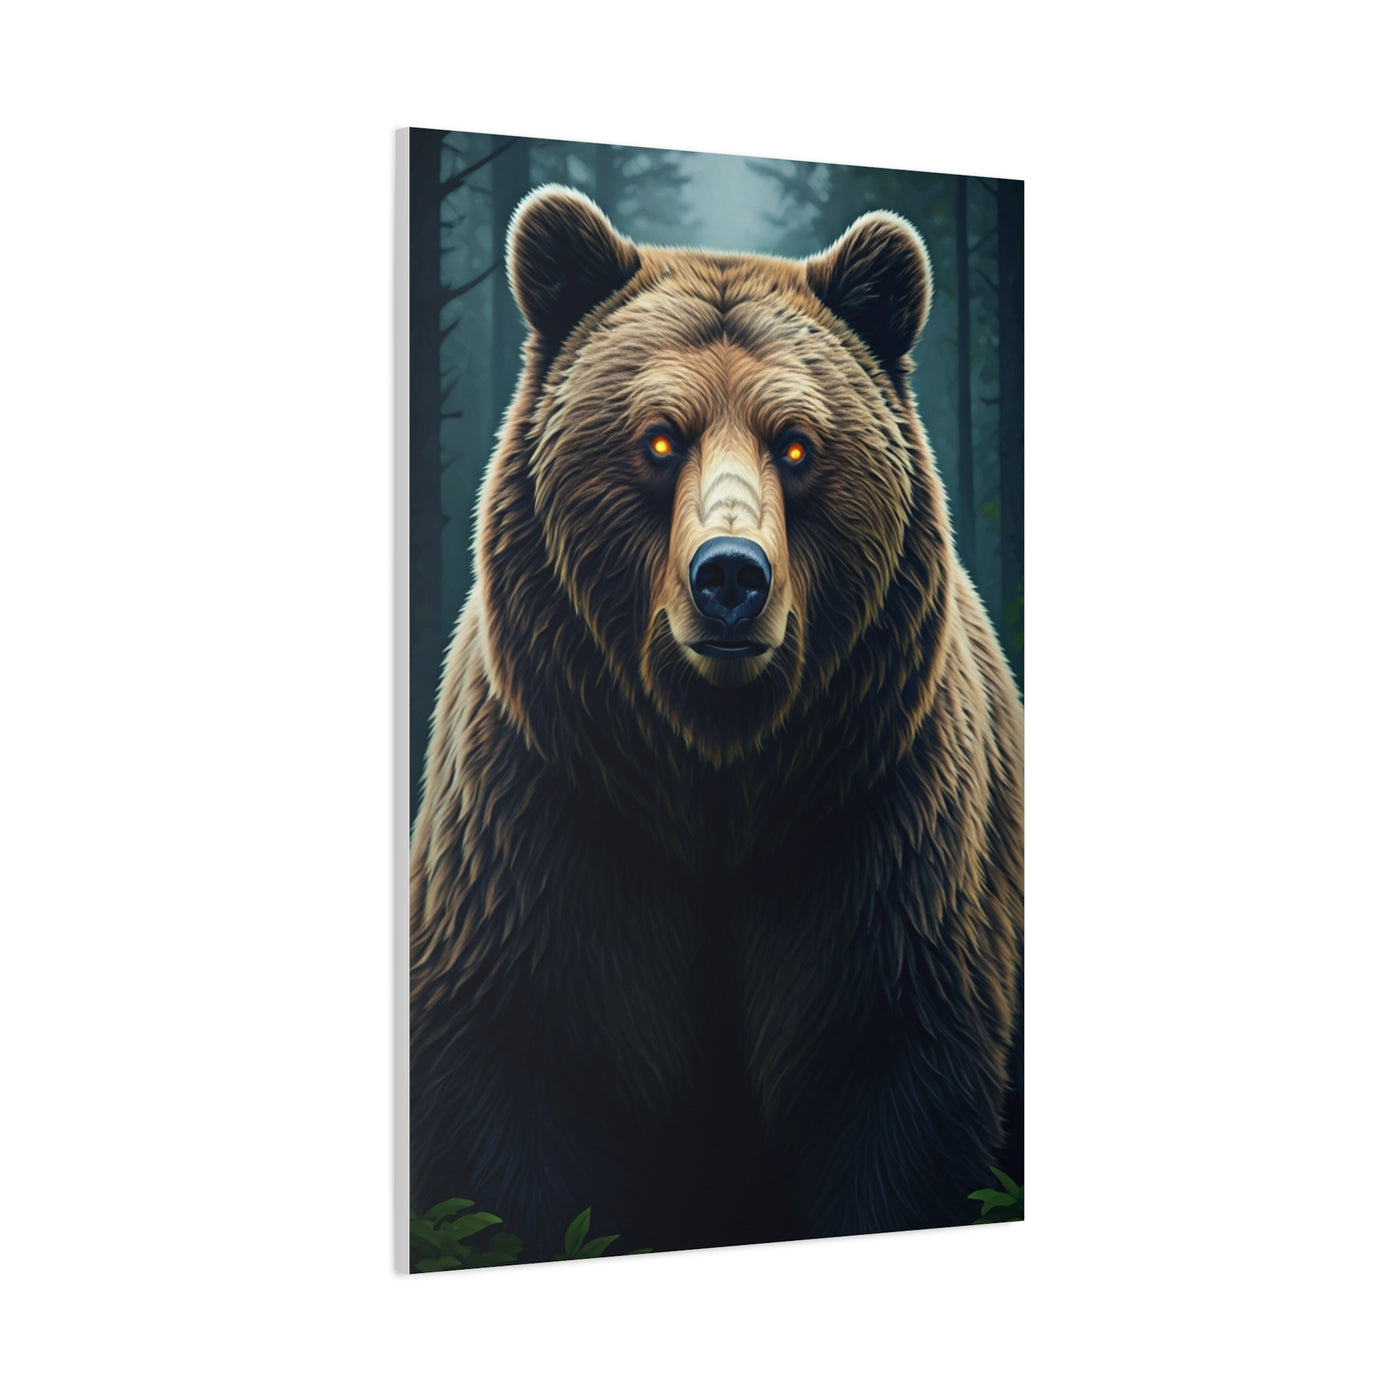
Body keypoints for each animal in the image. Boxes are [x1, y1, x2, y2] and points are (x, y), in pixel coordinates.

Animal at [410, 185, 1024, 1260]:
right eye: (660, 437)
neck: (717, 777)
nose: (731, 576)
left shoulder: (884, 850)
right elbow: (511, 1108)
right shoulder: (540, 833)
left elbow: (897, 1098)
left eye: (796, 443)